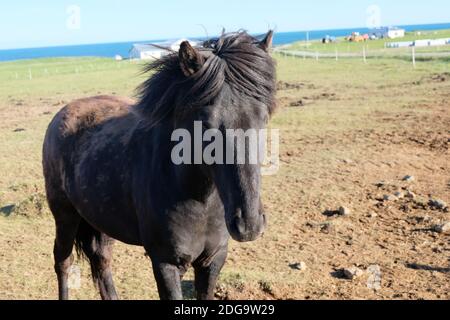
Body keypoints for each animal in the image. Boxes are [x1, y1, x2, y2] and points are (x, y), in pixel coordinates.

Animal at [43, 30, 274, 300]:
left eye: (263, 118)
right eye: (205, 124)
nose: (249, 224)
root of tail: (63, 114)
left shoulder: (213, 260)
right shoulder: (165, 263)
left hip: (100, 218)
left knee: (101, 261)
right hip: (65, 215)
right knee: (63, 261)